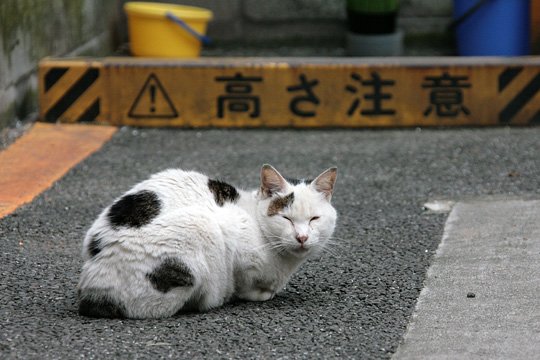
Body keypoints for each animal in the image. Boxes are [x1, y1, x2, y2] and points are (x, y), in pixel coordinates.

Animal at [77, 165, 338, 320]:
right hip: (201, 228)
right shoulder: (238, 248)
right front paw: (260, 293)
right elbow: (247, 282)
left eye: (314, 219)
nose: (302, 237)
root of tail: (93, 293)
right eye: (287, 219)